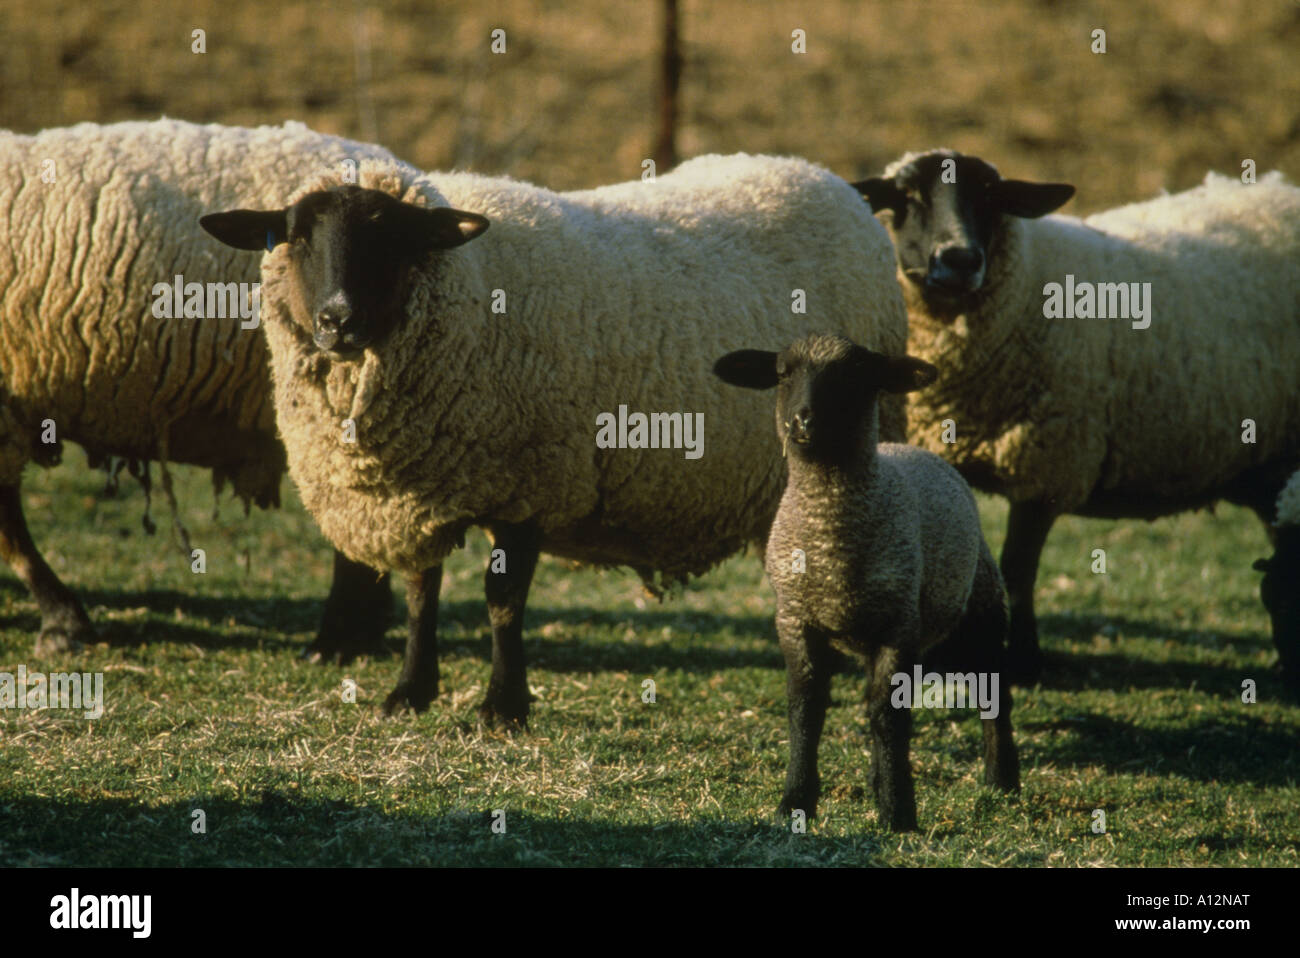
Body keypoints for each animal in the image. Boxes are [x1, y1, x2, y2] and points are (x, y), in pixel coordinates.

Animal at [199, 153, 910, 728]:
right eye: (296, 237)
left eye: (392, 238)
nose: (337, 320)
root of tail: (826, 179)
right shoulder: (419, 491)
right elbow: (422, 592)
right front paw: (410, 692)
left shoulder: (530, 484)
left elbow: (502, 603)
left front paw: (503, 708)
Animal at [713, 334, 1019, 831]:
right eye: (782, 373)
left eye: (855, 375)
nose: (803, 420)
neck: (829, 537)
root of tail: (914, 450)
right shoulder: (794, 620)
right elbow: (806, 708)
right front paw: (795, 802)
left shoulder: (898, 624)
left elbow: (889, 715)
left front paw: (898, 813)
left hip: (981, 608)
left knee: (993, 693)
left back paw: (1001, 781)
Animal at [855, 150, 1300, 686]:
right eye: (908, 196)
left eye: (990, 197)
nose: (961, 260)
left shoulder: (1047, 467)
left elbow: (1017, 569)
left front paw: (1024, 660)